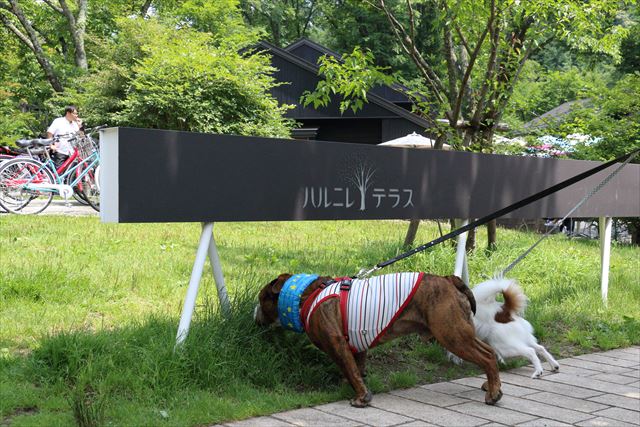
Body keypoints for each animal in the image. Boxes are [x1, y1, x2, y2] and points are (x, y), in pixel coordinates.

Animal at [252, 274, 502, 408]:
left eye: (262, 299)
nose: (254, 314)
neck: (305, 295)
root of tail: (450, 280)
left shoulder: (337, 343)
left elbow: (350, 370)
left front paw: (361, 398)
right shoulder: (356, 345)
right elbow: (356, 367)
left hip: (452, 334)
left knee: (487, 356)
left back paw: (493, 393)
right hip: (460, 332)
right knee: (489, 350)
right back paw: (491, 385)